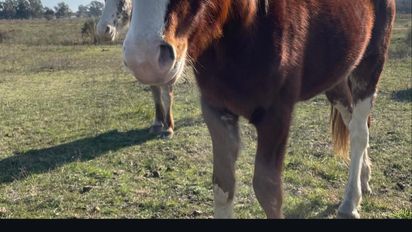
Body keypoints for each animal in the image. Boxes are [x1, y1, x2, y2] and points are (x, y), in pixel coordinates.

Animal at [97, 0, 176, 138]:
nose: (103, 31)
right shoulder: (150, 68)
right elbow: (156, 93)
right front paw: (158, 123)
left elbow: (167, 95)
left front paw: (169, 128)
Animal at [121, 0, 396, 218]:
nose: (144, 60)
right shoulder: (216, 111)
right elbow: (223, 186)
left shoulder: (276, 116)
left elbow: (269, 192)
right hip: (337, 80)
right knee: (352, 122)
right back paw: (364, 178)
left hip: (369, 67)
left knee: (359, 133)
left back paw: (350, 202)